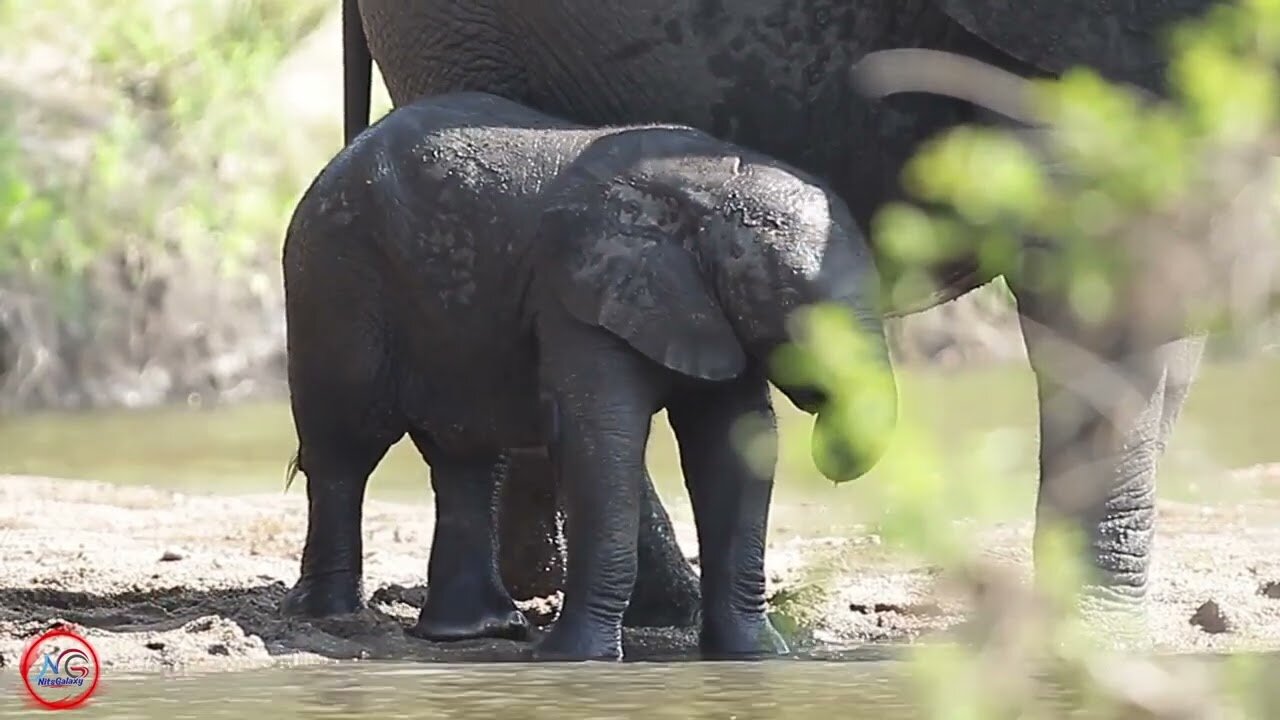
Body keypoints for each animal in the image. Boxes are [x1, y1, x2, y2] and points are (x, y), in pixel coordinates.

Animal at [280, 88, 901, 655]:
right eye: (798, 313)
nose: (831, 453)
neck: (708, 190)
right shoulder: (574, 296)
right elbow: (600, 441)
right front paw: (576, 660)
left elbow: (735, 445)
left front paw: (758, 656)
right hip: (333, 278)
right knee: (345, 443)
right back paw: (330, 616)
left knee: (468, 456)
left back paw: (475, 631)